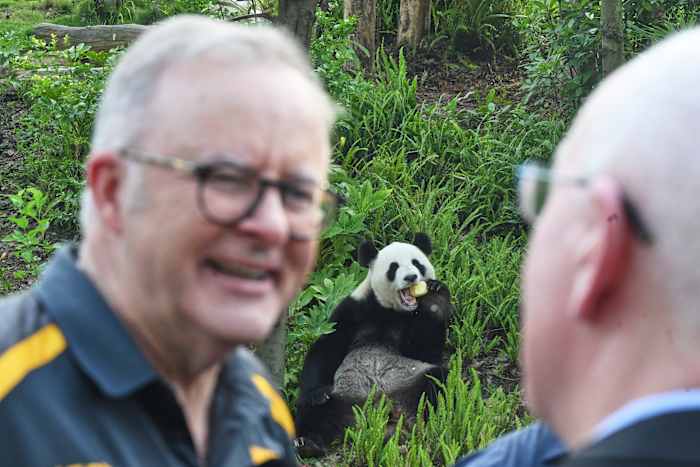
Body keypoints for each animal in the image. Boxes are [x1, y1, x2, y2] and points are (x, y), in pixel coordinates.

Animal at [295, 232, 453, 456]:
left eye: (417, 263)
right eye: (394, 267)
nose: (411, 277)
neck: (390, 310)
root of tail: (381, 408)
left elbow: (425, 351)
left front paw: (435, 298)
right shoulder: (354, 310)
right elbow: (327, 347)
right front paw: (317, 393)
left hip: (408, 379)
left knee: (435, 381)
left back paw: (419, 424)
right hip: (344, 394)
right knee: (312, 410)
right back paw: (309, 442)